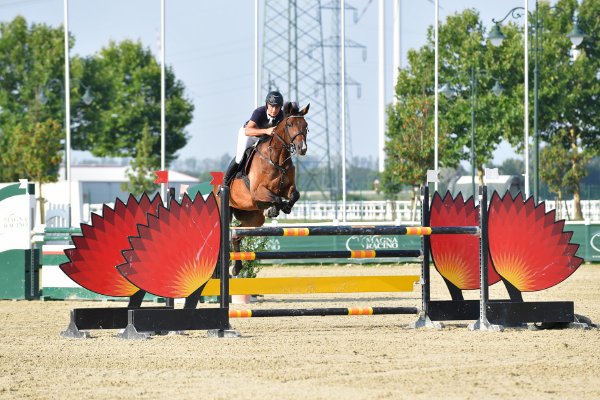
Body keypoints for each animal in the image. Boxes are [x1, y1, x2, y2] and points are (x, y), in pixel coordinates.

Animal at [216, 101, 310, 276]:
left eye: (305, 126)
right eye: (290, 124)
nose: (302, 148)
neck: (277, 159)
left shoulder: (288, 188)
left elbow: (295, 195)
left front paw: (283, 208)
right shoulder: (258, 191)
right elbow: (276, 198)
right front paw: (273, 209)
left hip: (253, 218)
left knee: (235, 235)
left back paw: (236, 267)